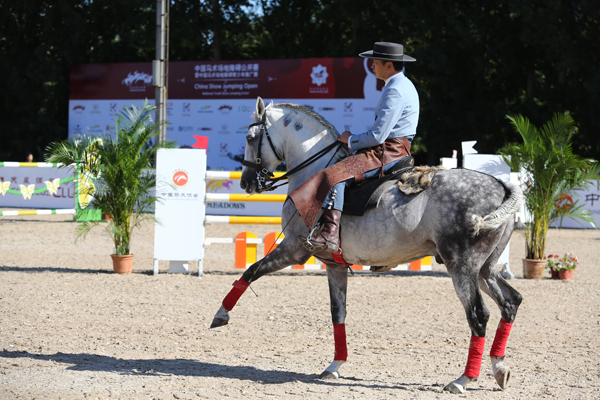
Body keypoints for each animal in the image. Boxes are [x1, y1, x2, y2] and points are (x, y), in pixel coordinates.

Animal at [212, 97, 524, 394]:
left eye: (250, 137)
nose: (246, 182)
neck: (313, 172)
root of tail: (501, 186)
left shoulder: (293, 250)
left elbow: (251, 271)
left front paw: (220, 315)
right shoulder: (334, 265)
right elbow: (338, 312)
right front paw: (334, 365)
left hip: (461, 267)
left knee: (478, 316)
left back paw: (463, 380)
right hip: (485, 270)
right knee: (510, 302)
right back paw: (499, 368)